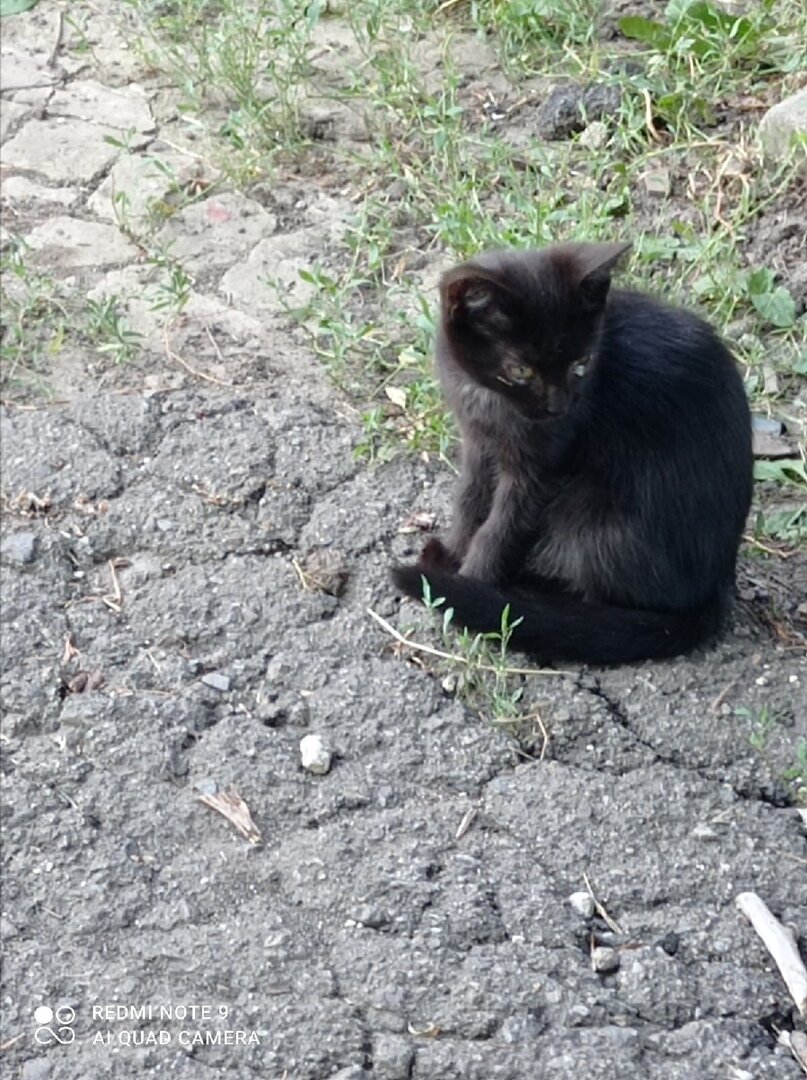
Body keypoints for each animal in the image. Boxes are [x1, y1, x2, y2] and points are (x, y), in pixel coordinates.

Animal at [395, 243, 756, 665]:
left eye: (581, 365)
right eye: (520, 371)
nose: (559, 406)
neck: (488, 399)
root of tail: (717, 585)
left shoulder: (544, 466)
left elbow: (502, 526)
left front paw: (468, 580)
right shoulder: (479, 444)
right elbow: (469, 498)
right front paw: (452, 553)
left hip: (586, 508)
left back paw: (528, 593)